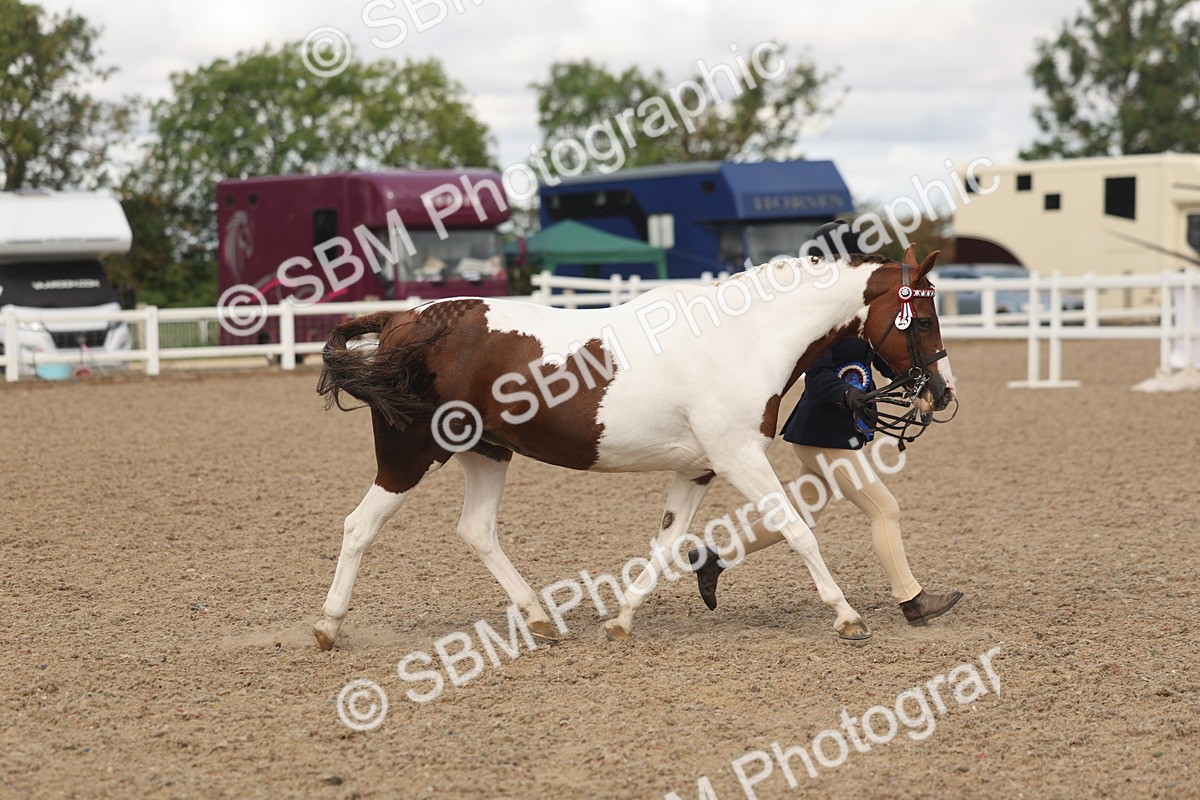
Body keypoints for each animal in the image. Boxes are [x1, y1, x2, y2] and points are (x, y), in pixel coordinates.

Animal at [311, 245, 955, 650]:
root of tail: (403, 322)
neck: (744, 339)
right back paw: (328, 627)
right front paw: (847, 617)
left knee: (477, 531)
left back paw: (541, 621)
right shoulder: (738, 458)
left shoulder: (699, 469)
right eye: (922, 318)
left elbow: (668, 544)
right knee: (359, 526)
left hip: (487, 452)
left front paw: (620, 621)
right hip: (410, 454)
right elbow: (797, 529)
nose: (941, 393)